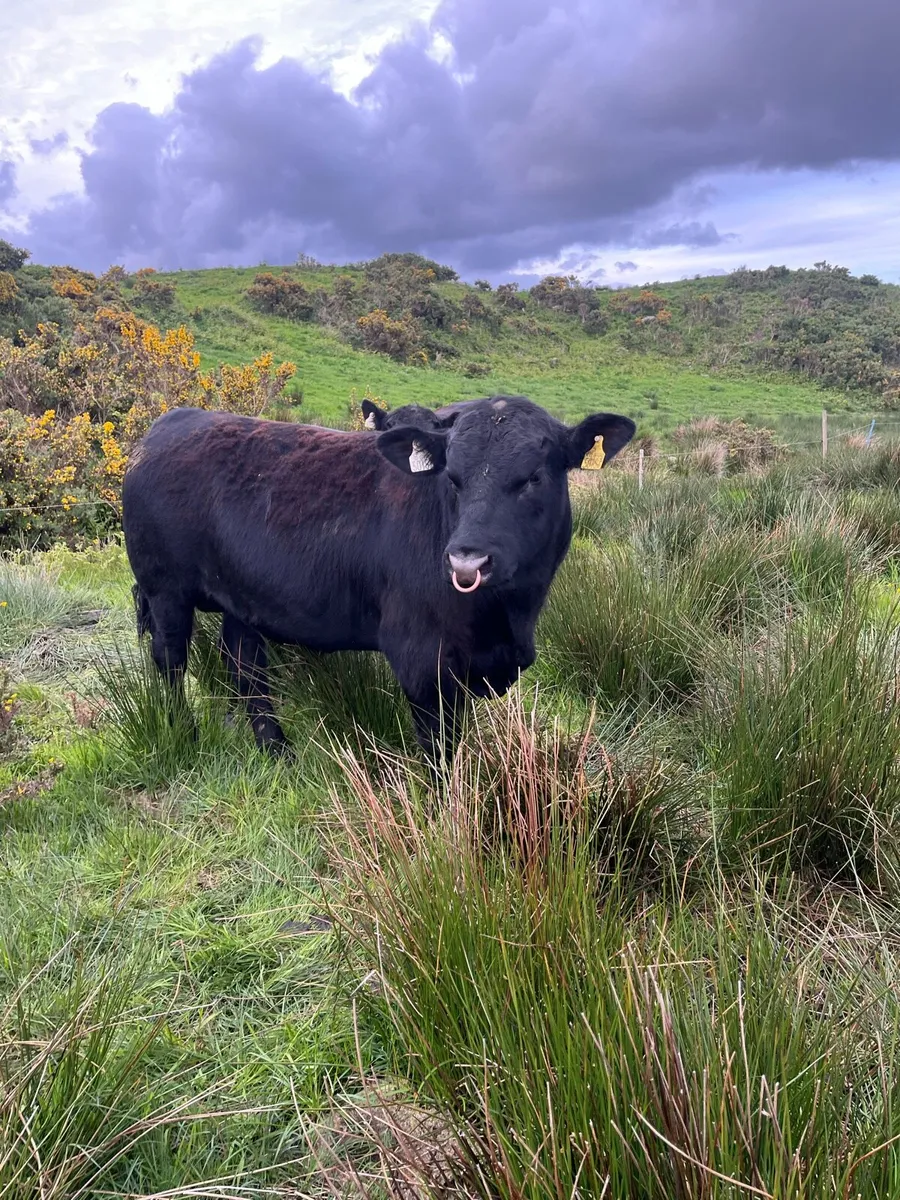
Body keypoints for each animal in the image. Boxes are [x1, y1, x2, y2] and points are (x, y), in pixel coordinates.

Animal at [122, 395, 635, 767]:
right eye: (453, 478)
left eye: (532, 478)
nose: (466, 561)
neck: (507, 619)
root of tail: (167, 424)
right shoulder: (422, 662)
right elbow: (439, 751)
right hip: (164, 590)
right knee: (170, 660)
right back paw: (183, 733)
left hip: (239, 599)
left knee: (244, 665)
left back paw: (278, 751)